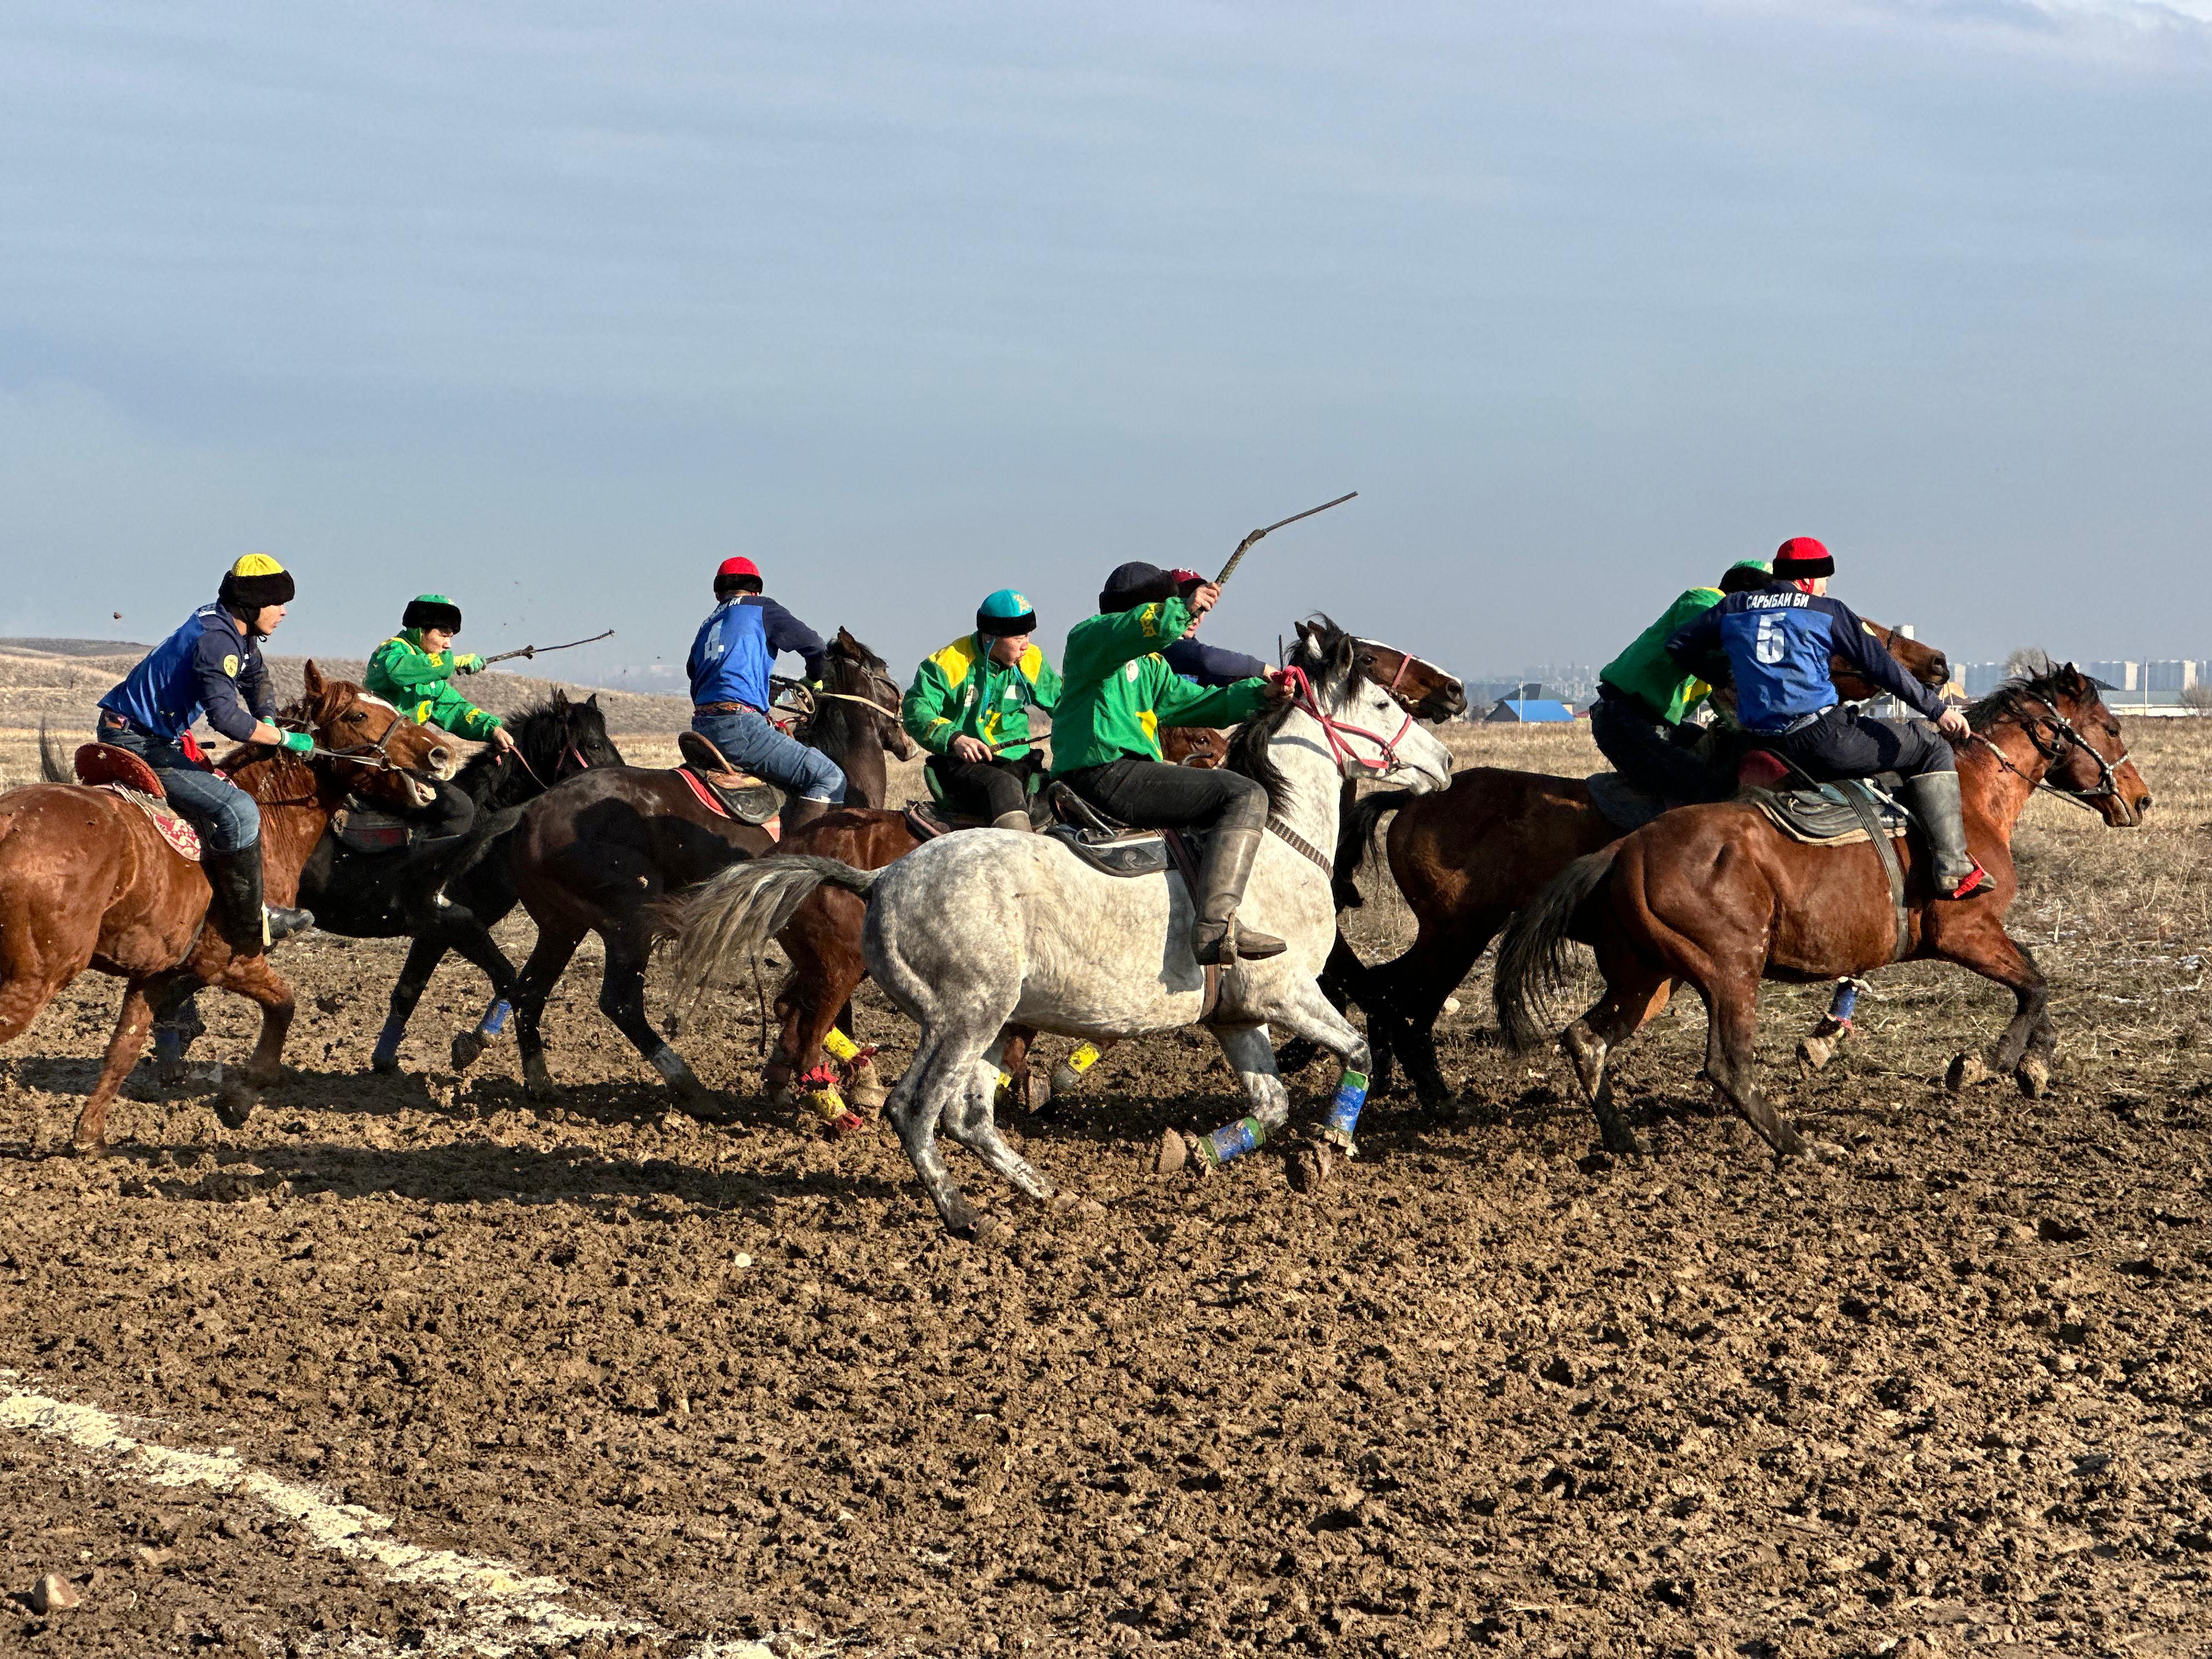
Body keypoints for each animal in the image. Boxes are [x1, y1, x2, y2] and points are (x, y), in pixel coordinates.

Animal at [1, 668, 453, 1150]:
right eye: (359, 715)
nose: (441, 753)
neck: (269, 817)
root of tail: (9, 825)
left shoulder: (156, 974)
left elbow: (124, 1048)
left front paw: (89, 1134)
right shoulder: (231, 962)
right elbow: (283, 1005)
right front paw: (241, 1097)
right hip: (36, 977)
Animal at [125, 690, 628, 1092]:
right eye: (593, 744)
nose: (621, 787)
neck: (487, 829)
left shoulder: (440, 932)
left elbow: (414, 989)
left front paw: (391, 1058)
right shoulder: (450, 925)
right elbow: (507, 979)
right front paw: (479, 1047)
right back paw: (170, 1054)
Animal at [672, 624, 1469, 1248]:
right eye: (1383, 698)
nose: (1447, 759)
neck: (1279, 840)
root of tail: (881, 878)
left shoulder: (1238, 1018)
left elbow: (1270, 1107)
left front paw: (1193, 1155)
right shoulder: (1287, 995)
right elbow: (1357, 1048)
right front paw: (1330, 1145)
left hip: (987, 1022)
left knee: (966, 1114)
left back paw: (1044, 1189)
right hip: (961, 1017)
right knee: (914, 1107)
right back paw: (961, 1211)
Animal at [1309, 619, 1955, 1110]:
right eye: (1862, 628)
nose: (1938, 662)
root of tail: (1415, 798)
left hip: (1454, 932)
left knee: (1389, 992)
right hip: (1456, 932)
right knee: (1402, 1001)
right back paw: (1428, 1094)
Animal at [1486, 668, 2141, 1167]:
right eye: (2111, 728)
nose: (2141, 799)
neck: (1972, 798)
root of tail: (1627, 848)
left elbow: (2035, 982)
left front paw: (2034, 1064)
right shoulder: (1965, 933)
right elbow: (2033, 984)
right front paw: (1988, 1064)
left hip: (1646, 980)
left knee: (1586, 1039)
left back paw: (1624, 1138)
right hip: (1731, 971)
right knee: (1728, 1066)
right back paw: (1800, 1146)